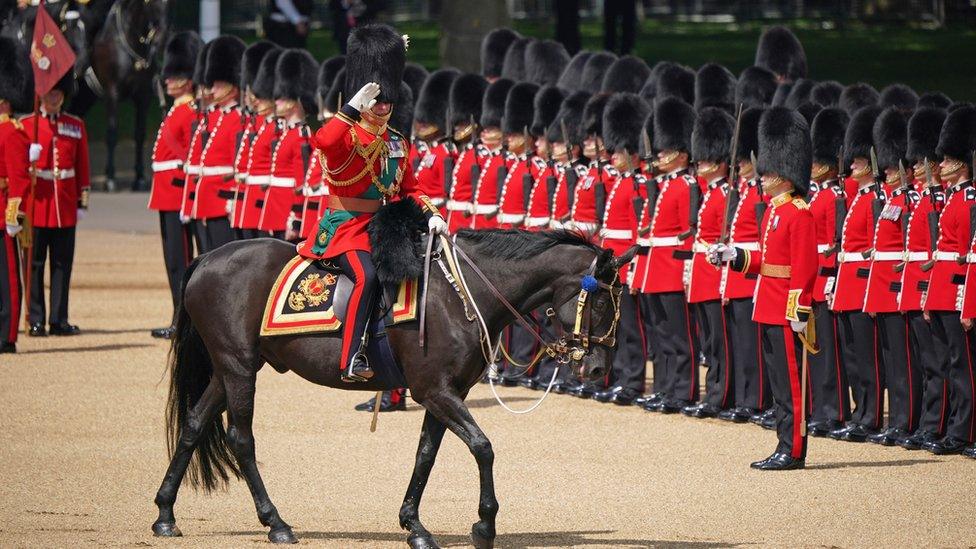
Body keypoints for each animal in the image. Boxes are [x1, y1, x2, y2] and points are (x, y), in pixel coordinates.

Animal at [152, 225, 632, 544]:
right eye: (601, 302)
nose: (596, 371)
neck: (460, 294)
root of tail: (208, 257)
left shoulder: (446, 392)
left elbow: (426, 455)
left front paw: (414, 525)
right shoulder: (434, 391)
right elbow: (482, 447)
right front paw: (484, 524)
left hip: (232, 367)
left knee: (194, 424)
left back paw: (165, 514)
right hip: (239, 367)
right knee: (241, 438)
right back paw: (276, 523)